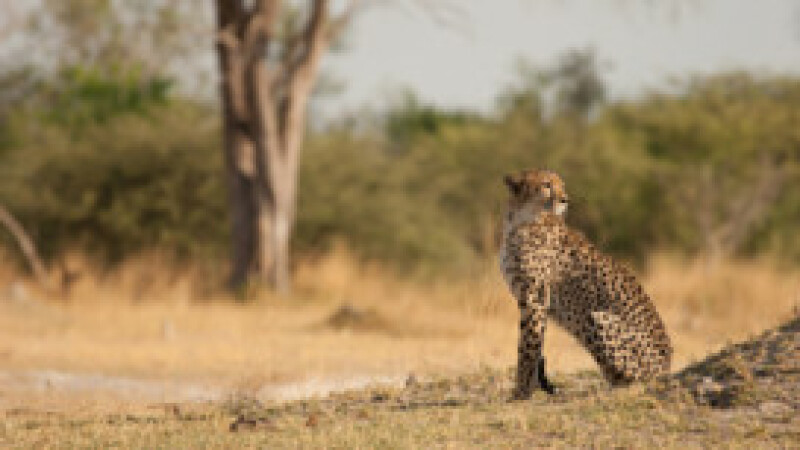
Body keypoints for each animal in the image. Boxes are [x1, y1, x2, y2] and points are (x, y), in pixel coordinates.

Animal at [499, 168, 672, 399]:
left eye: (562, 185)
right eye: (546, 185)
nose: (565, 200)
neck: (521, 219)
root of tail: (667, 369)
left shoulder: (534, 299)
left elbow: (527, 348)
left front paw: (520, 393)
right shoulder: (534, 302)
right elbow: (535, 347)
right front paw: (531, 389)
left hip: (597, 318)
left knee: (635, 379)